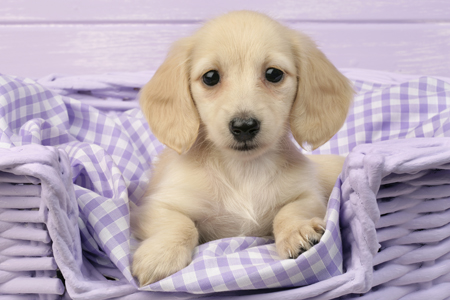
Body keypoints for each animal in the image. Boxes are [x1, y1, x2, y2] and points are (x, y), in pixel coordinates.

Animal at [132, 9, 354, 286]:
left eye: (273, 74)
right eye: (210, 77)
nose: (244, 126)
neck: (243, 170)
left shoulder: (307, 195)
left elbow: (289, 211)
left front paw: (297, 231)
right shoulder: (156, 206)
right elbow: (179, 224)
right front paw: (161, 254)